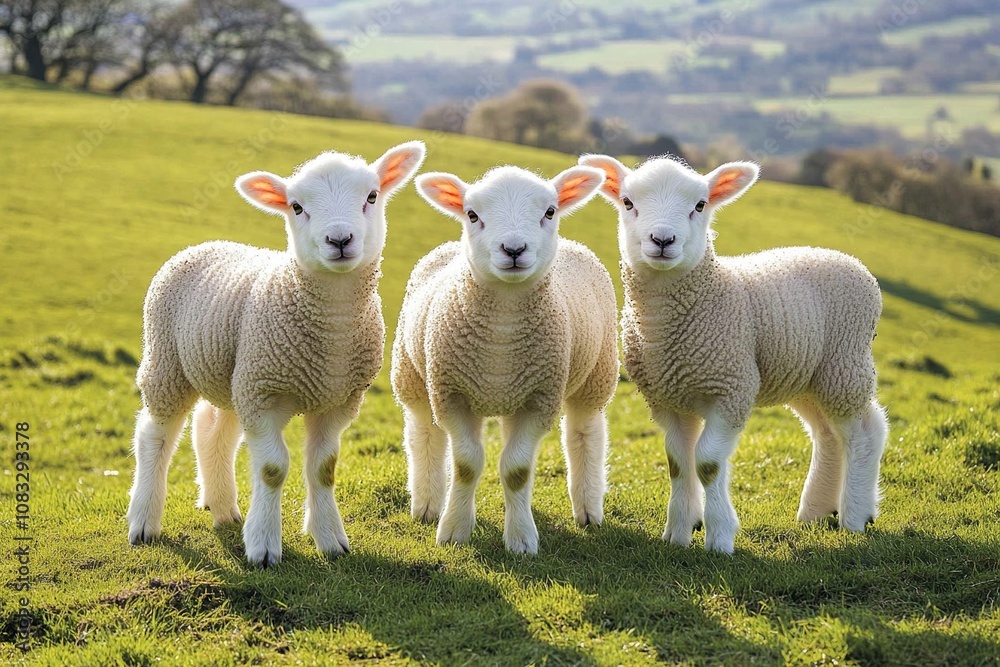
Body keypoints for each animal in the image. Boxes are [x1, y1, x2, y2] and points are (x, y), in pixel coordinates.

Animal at [125, 141, 426, 567]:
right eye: (296, 207)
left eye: (371, 196)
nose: (339, 240)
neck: (331, 335)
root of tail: (206, 243)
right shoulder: (264, 394)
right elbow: (271, 469)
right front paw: (264, 545)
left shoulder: (337, 401)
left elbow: (323, 469)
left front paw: (330, 538)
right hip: (168, 363)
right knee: (154, 435)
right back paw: (144, 521)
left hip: (231, 373)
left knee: (212, 432)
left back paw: (222, 507)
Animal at [391, 165, 618, 554]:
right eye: (472, 214)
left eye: (550, 212)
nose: (513, 249)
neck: (502, 335)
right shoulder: (451, 394)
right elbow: (467, 465)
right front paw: (453, 530)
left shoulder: (539, 399)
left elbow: (516, 470)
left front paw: (521, 539)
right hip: (412, 375)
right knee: (424, 432)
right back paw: (428, 504)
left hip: (595, 375)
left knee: (584, 431)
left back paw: (587, 509)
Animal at [579, 153, 888, 554]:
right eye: (628, 202)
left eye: (700, 205)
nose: (662, 240)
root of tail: (847, 259)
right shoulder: (667, 398)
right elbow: (679, 463)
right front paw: (678, 534)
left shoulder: (731, 388)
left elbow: (707, 463)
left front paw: (719, 537)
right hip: (806, 376)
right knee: (828, 435)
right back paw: (816, 511)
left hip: (844, 365)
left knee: (865, 432)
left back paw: (856, 515)